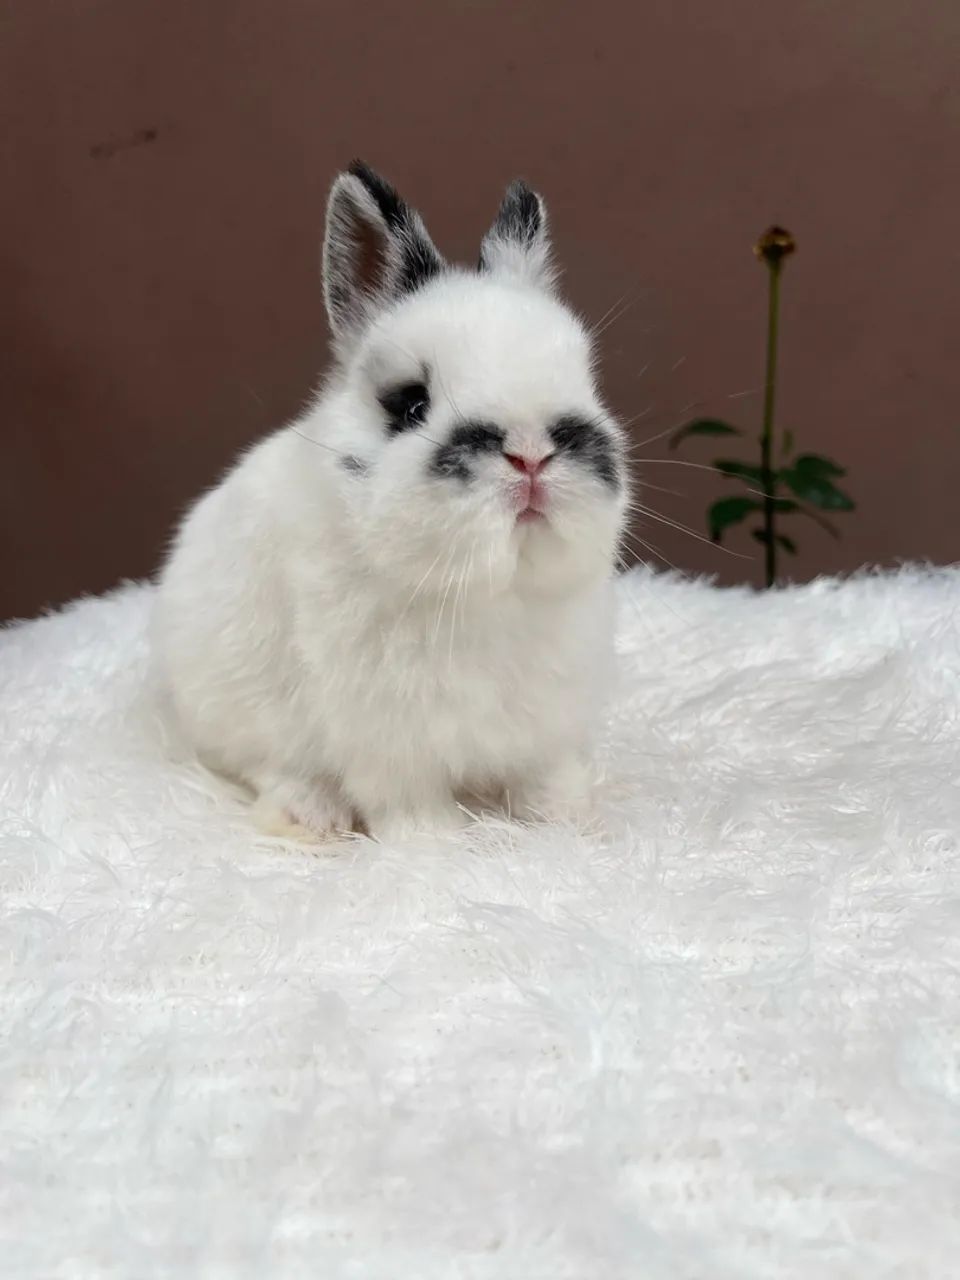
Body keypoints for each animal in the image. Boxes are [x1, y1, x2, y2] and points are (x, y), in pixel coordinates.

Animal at [153, 161, 629, 842]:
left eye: (586, 381)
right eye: (409, 403)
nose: (532, 452)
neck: (486, 593)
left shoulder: (547, 726)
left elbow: (547, 778)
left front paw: (572, 825)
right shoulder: (386, 738)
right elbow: (409, 802)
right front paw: (433, 848)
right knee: (269, 767)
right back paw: (306, 818)